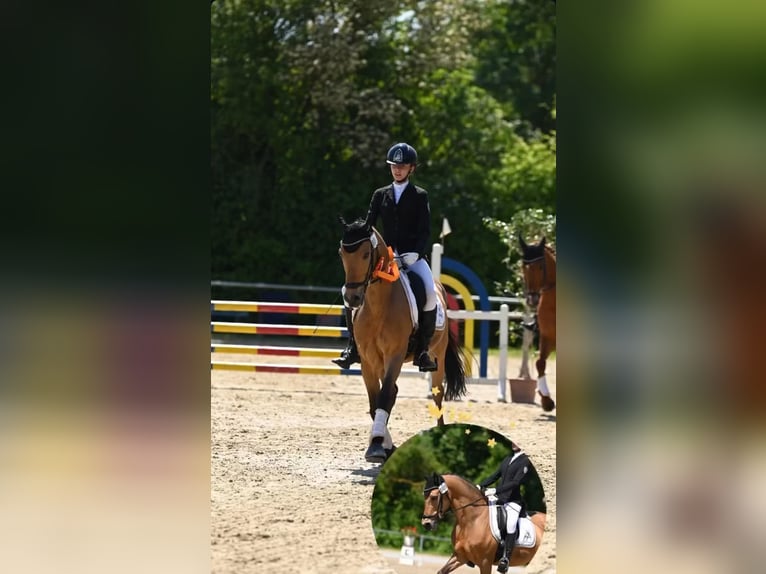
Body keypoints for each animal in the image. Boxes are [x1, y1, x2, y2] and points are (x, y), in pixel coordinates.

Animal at [340, 218, 468, 466]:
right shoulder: (368, 361)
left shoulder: (395, 355)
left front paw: (377, 445)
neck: (378, 305)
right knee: (393, 392)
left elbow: (383, 396)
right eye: (342, 254)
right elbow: (376, 402)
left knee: (437, 396)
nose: (352, 298)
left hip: (436, 356)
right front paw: (380, 444)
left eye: (365, 254)